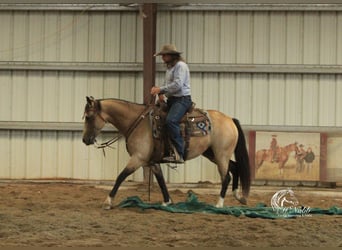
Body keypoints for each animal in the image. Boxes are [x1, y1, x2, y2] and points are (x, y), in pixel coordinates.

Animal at [81, 96, 250, 210]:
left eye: (88, 117)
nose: (85, 139)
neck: (137, 122)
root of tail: (230, 119)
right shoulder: (152, 161)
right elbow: (161, 180)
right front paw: (167, 201)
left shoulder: (138, 159)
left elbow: (121, 176)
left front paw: (108, 202)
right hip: (212, 153)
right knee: (234, 167)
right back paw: (238, 196)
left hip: (221, 154)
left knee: (226, 176)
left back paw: (219, 204)